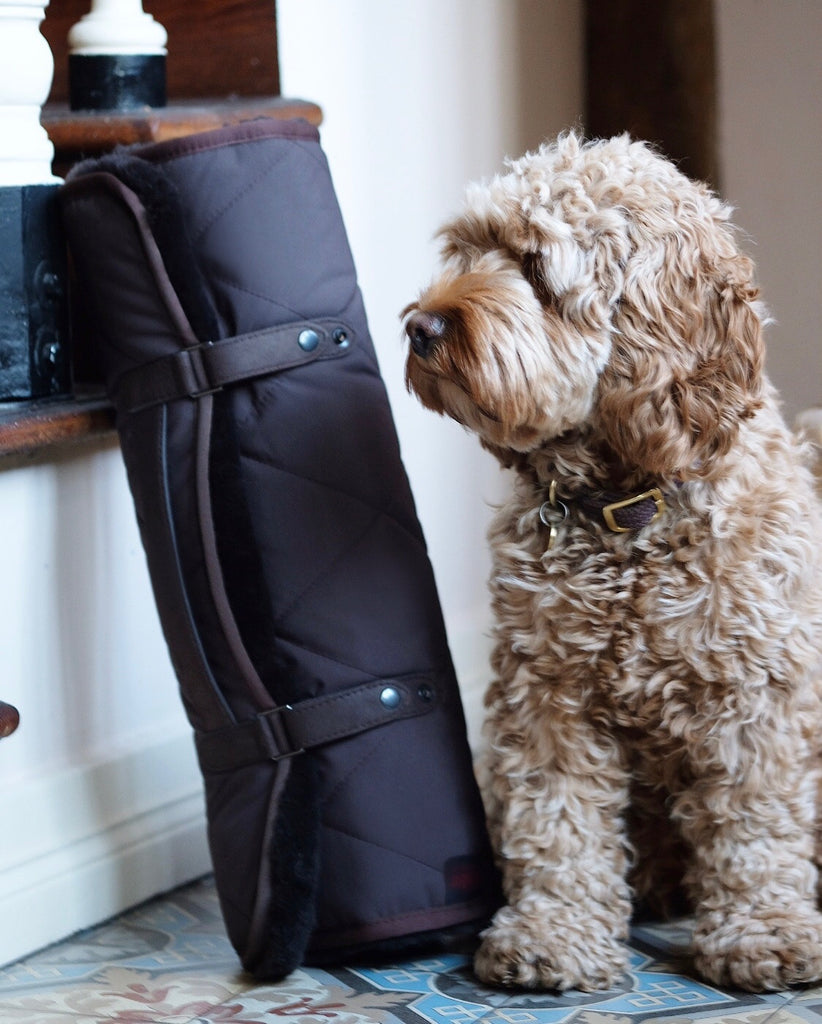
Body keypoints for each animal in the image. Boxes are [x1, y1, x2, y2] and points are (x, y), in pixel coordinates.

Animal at [401, 132, 822, 995]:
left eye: (534, 267)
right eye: (465, 249)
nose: (420, 326)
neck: (627, 510)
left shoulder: (759, 696)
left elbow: (757, 823)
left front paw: (764, 930)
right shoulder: (546, 693)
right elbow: (554, 819)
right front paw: (553, 934)